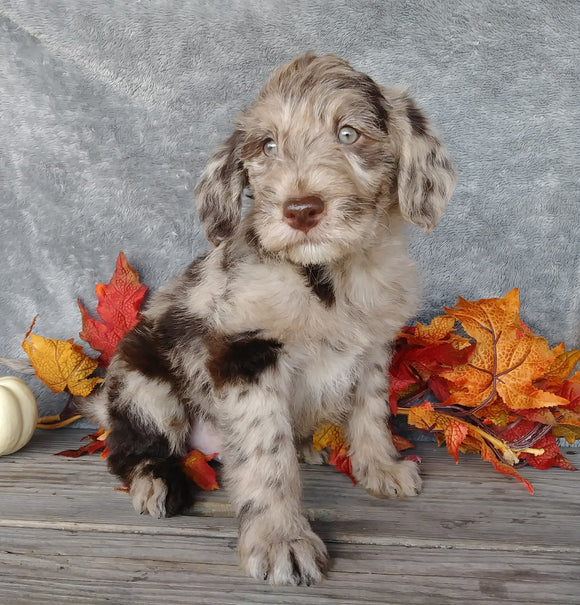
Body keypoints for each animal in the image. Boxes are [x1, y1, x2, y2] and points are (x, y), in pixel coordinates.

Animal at [79, 54, 456, 584]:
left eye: (348, 134)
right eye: (268, 146)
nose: (300, 210)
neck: (326, 276)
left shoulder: (374, 346)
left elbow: (370, 412)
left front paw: (382, 468)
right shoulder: (245, 352)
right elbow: (265, 455)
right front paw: (282, 540)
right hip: (141, 382)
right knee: (130, 446)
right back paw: (154, 482)